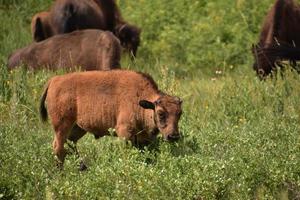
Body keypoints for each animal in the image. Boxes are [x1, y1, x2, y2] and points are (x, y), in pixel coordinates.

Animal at [39, 69, 183, 168]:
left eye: (180, 113)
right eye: (160, 113)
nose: (173, 136)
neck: (141, 100)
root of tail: (54, 80)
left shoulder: (144, 140)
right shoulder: (125, 133)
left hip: (77, 128)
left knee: (70, 144)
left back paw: (82, 167)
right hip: (61, 126)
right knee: (58, 147)